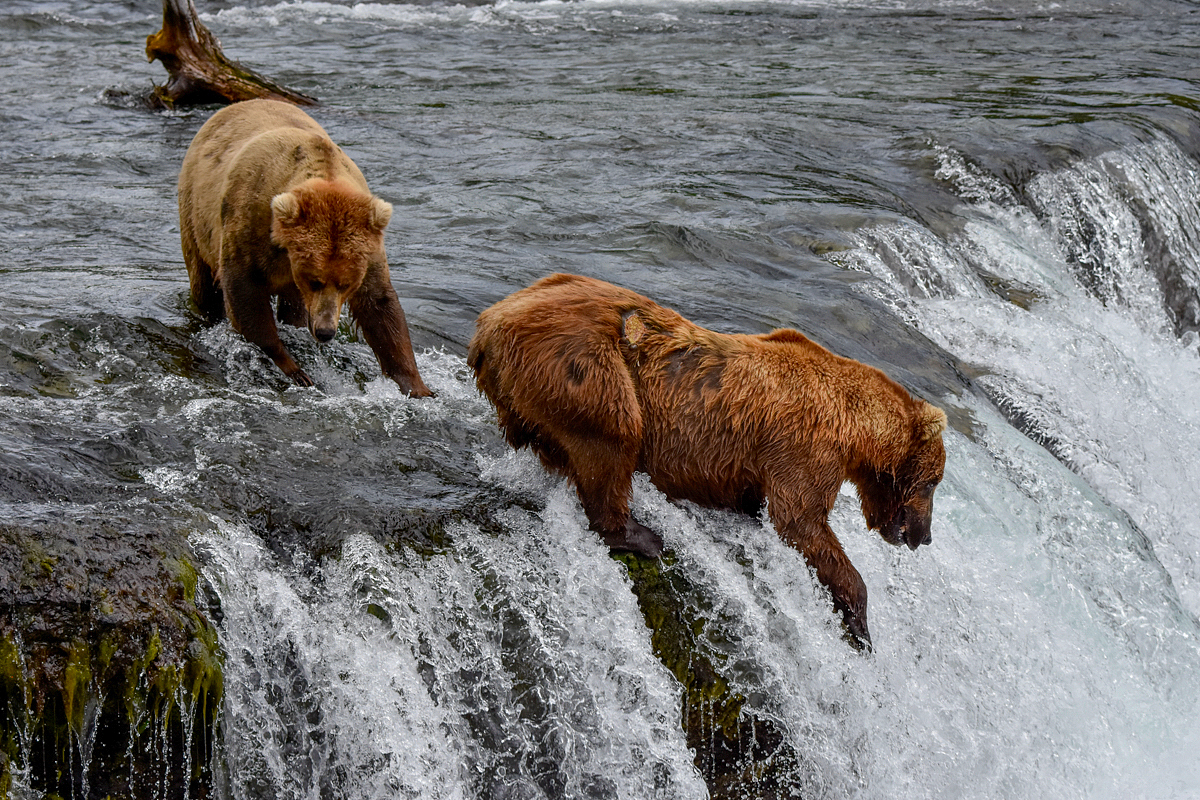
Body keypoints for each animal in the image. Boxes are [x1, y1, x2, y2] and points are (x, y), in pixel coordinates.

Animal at [180, 100, 434, 398]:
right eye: (315, 280)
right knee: (203, 282)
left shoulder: (370, 251)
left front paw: (418, 387)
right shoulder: (249, 222)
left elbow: (380, 306)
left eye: (346, 284)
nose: (326, 331)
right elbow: (245, 295)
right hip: (195, 212)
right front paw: (295, 370)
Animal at [468, 275, 945, 652]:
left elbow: (758, 503)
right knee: (612, 438)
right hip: (585, 365)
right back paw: (640, 535)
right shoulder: (806, 446)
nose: (925, 536)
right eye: (933, 483)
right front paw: (860, 622)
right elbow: (800, 519)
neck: (857, 430)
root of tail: (489, 323)